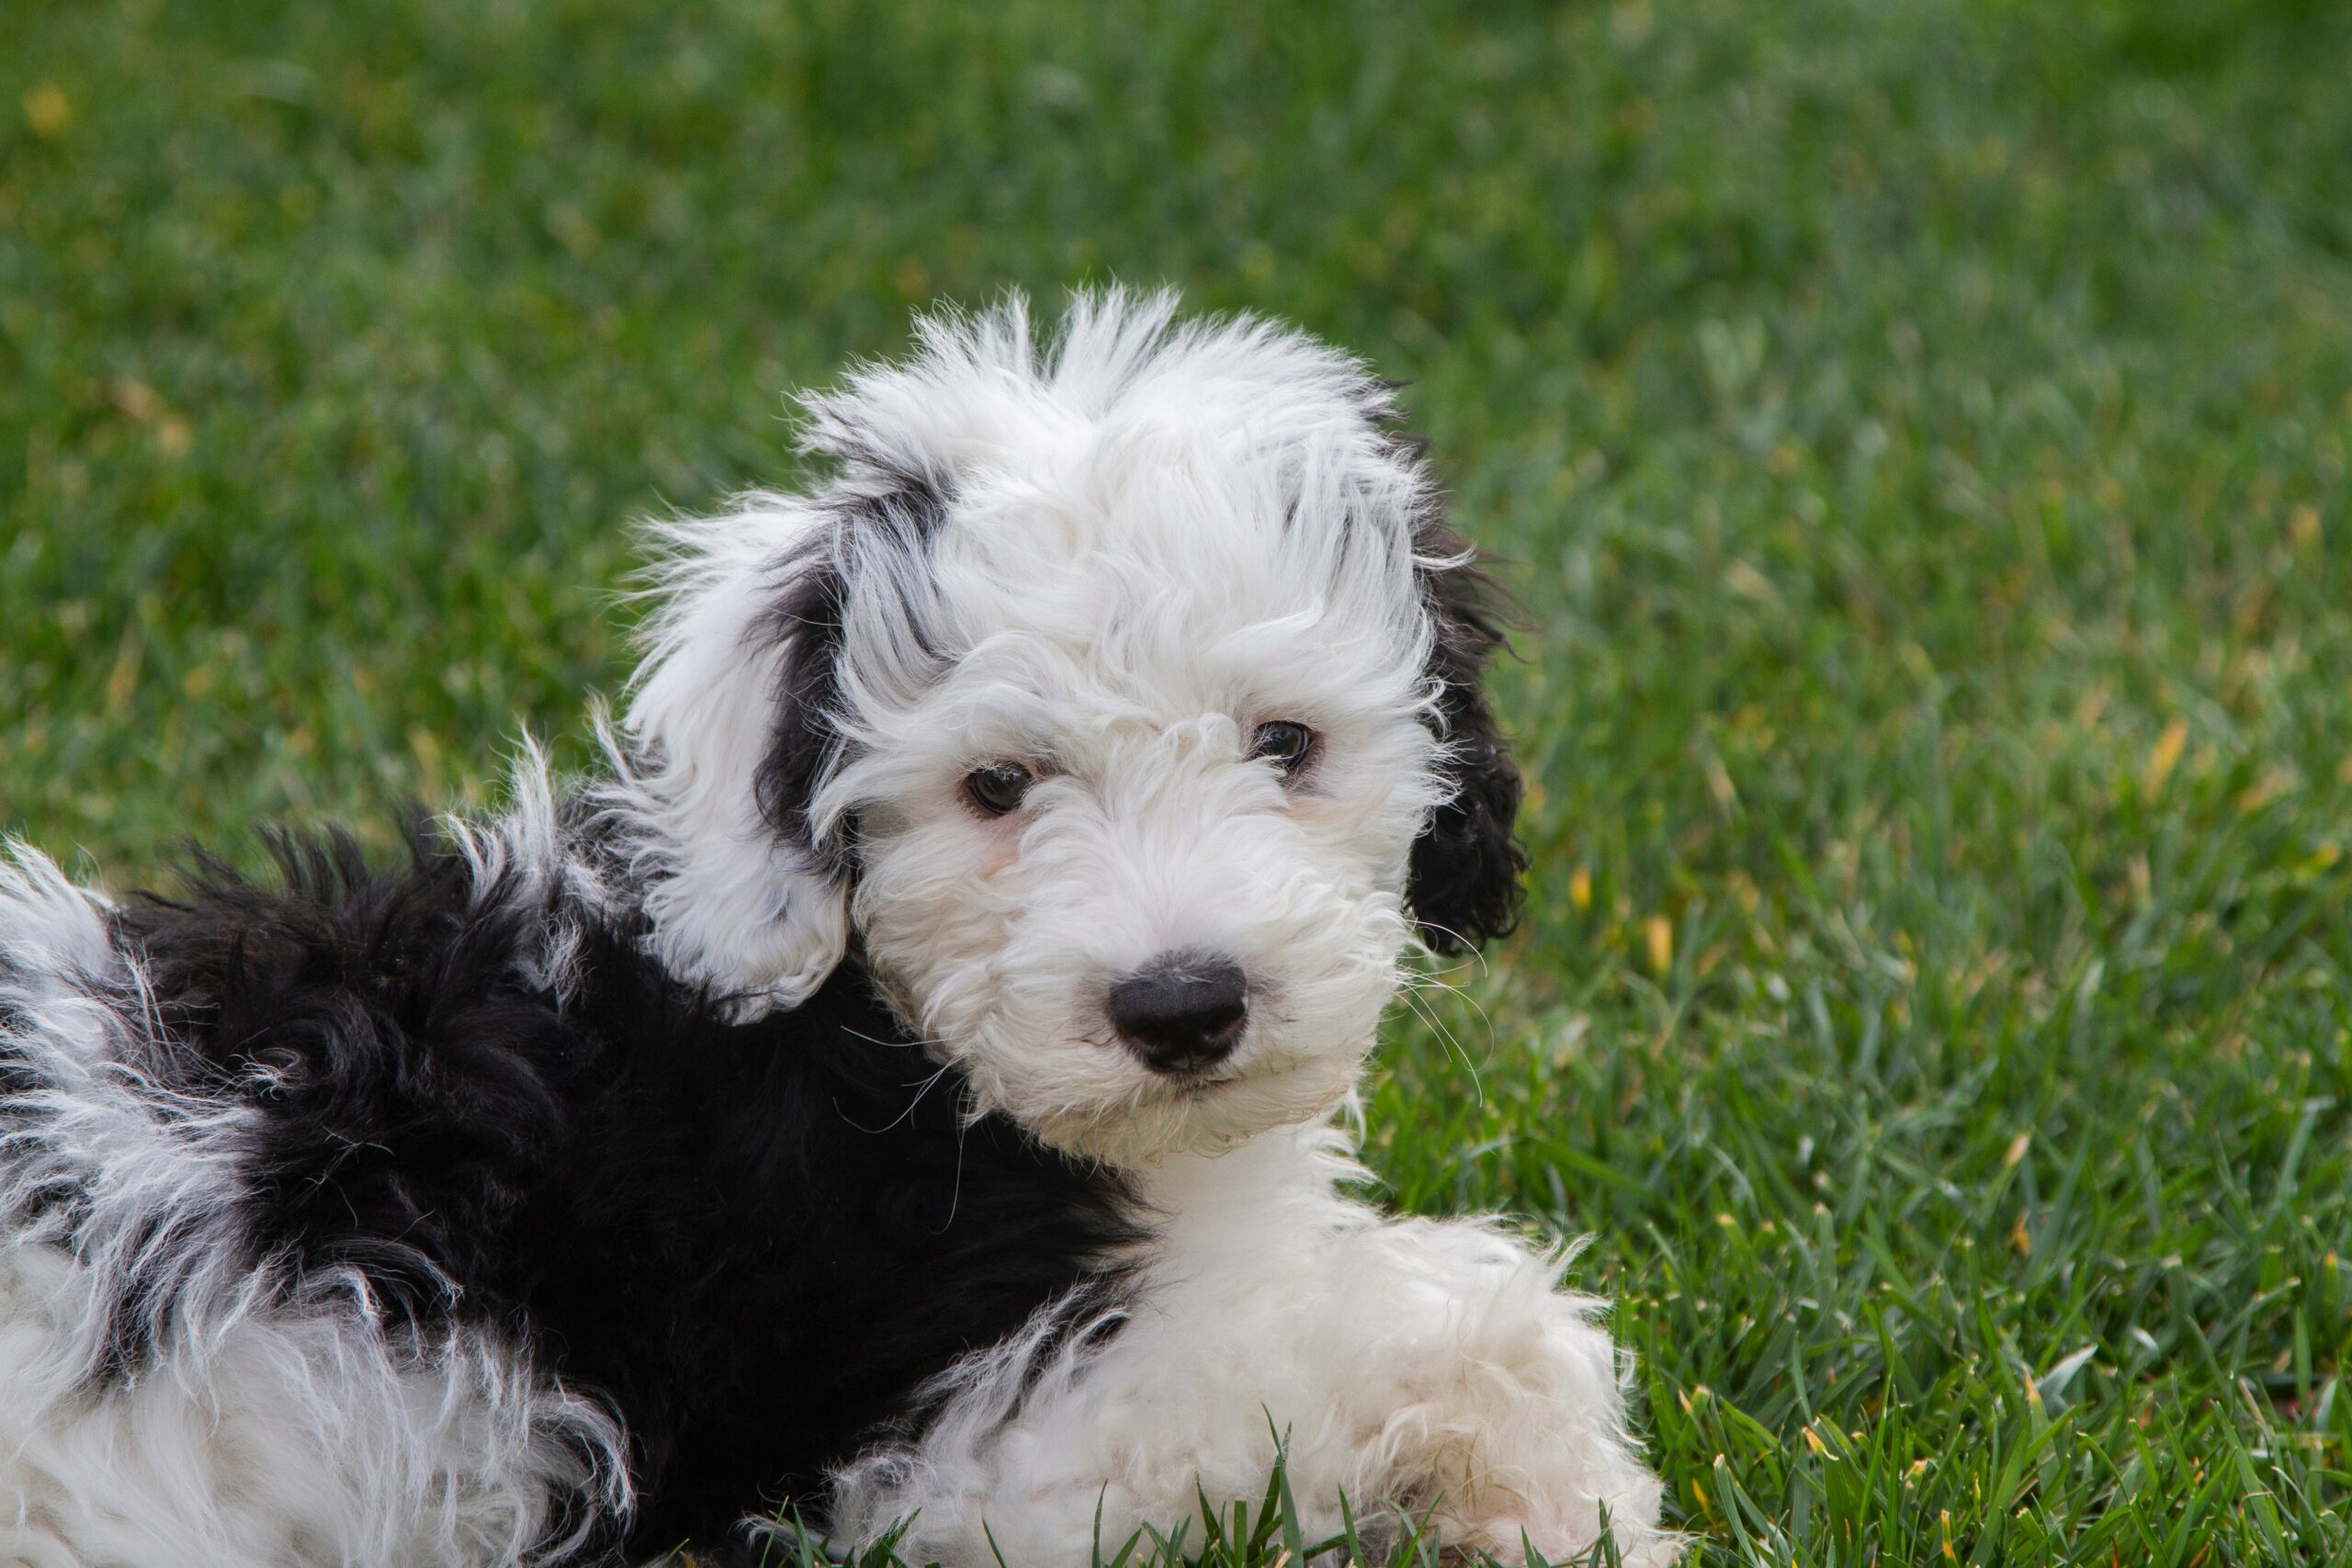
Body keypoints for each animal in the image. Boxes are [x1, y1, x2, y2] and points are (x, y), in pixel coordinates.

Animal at [0, 293, 1674, 1568]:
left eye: (1288, 743)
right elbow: (1478, 1319)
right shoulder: (964, 1447)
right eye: (996, 785)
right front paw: (1576, 1515)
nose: (1184, 1006)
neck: (884, 1038)